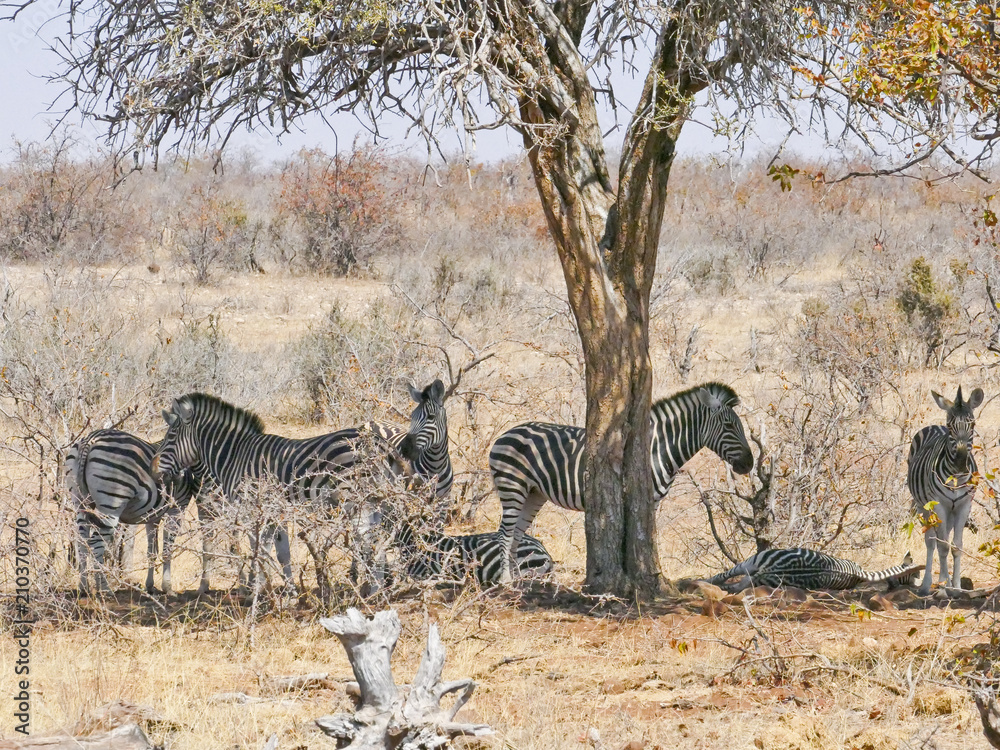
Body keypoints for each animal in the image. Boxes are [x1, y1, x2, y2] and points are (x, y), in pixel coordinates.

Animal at [66, 429, 203, 595]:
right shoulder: (177, 508)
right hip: (112, 501)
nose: (176, 477)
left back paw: (83, 587)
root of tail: (91, 438)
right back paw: (105, 588)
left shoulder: (153, 517)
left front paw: (150, 586)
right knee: (95, 544)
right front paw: (167, 587)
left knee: (81, 544)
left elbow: (152, 551)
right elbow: (167, 549)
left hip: (79, 502)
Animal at [151, 382, 451, 591]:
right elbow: (281, 552)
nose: (154, 469)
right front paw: (288, 591)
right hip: (376, 501)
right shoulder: (275, 511)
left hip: (358, 501)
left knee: (369, 543)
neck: (236, 454)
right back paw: (375, 588)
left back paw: (372, 589)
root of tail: (381, 444)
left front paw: (257, 588)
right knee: (378, 542)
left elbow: (259, 548)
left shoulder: (252, 508)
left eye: (171, 437)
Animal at [489, 382, 754, 582]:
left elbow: (648, 535)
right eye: (729, 425)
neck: (657, 447)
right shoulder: (641, 497)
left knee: (517, 534)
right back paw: (505, 581)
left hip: (534, 493)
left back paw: (517, 581)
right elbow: (643, 536)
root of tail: (505, 434)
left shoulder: (652, 501)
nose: (749, 464)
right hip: (512, 486)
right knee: (504, 533)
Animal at [907, 386, 984, 595]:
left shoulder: (964, 505)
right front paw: (943, 588)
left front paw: (956, 587)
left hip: (950, 510)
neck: (956, 478)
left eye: (973, 425)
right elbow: (942, 547)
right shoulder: (939, 504)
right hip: (924, 506)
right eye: (950, 427)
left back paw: (946, 581)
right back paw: (928, 585)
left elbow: (956, 546)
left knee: (945, 537)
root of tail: (933, 425)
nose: (961, 464)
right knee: (931, 540)